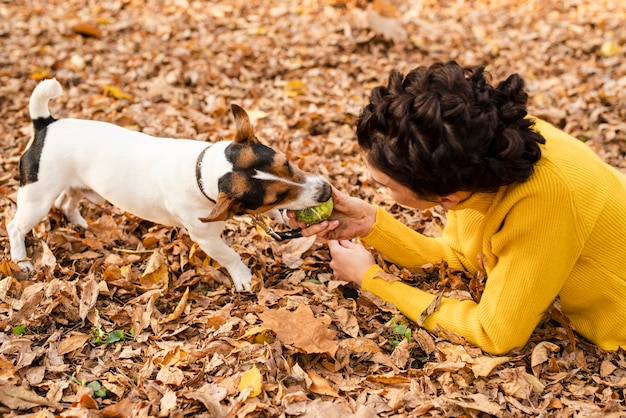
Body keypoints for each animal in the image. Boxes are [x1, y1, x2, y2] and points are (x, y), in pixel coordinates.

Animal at [8, 80, 332, 292]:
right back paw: (21, 260)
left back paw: (81, 225)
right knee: (15, 226)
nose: (327, 191)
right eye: (276, 196)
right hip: (37, 200)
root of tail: (46, 124)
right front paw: (243, 276)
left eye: (287, 163)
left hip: (76, 186)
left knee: (67, 203)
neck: (202, 171)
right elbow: (230, 255)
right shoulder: (207, 238)